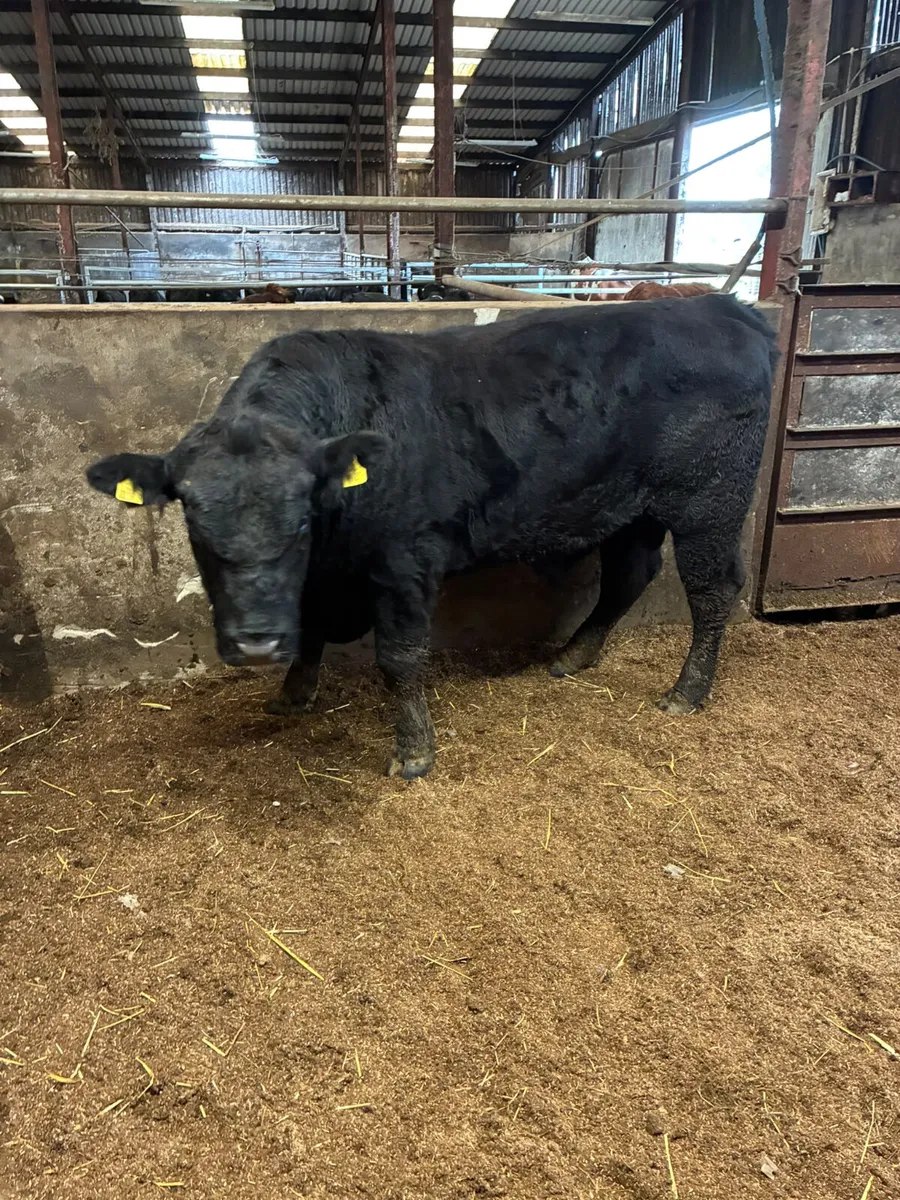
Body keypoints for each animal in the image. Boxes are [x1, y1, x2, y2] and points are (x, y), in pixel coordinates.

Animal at [86, 294, 776, 780]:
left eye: (301, 517)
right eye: (193, 521)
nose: (256, 643)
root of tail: (720, 306)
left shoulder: (405, 559)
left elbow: (399, 657)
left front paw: (415, 752)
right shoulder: (321, 577)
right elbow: (311, 627)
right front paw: (292, 694)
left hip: (709, 502)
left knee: (712, 589)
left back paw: (686, 692)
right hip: (633, 507)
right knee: (630, 575)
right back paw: (573, 656)